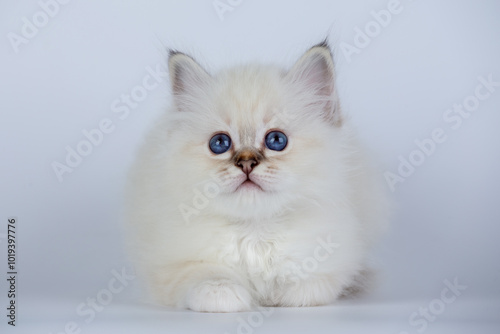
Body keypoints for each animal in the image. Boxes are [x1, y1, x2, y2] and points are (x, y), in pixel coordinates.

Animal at [124, 41, 386, 314]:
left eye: (276, 140)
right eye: (219, 143)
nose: (246, 162)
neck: (255, 231)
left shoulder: (330, 261)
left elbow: (307, 283)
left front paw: (277, 297)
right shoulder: (173, 266)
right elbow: (205, 275)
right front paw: (222, 292)